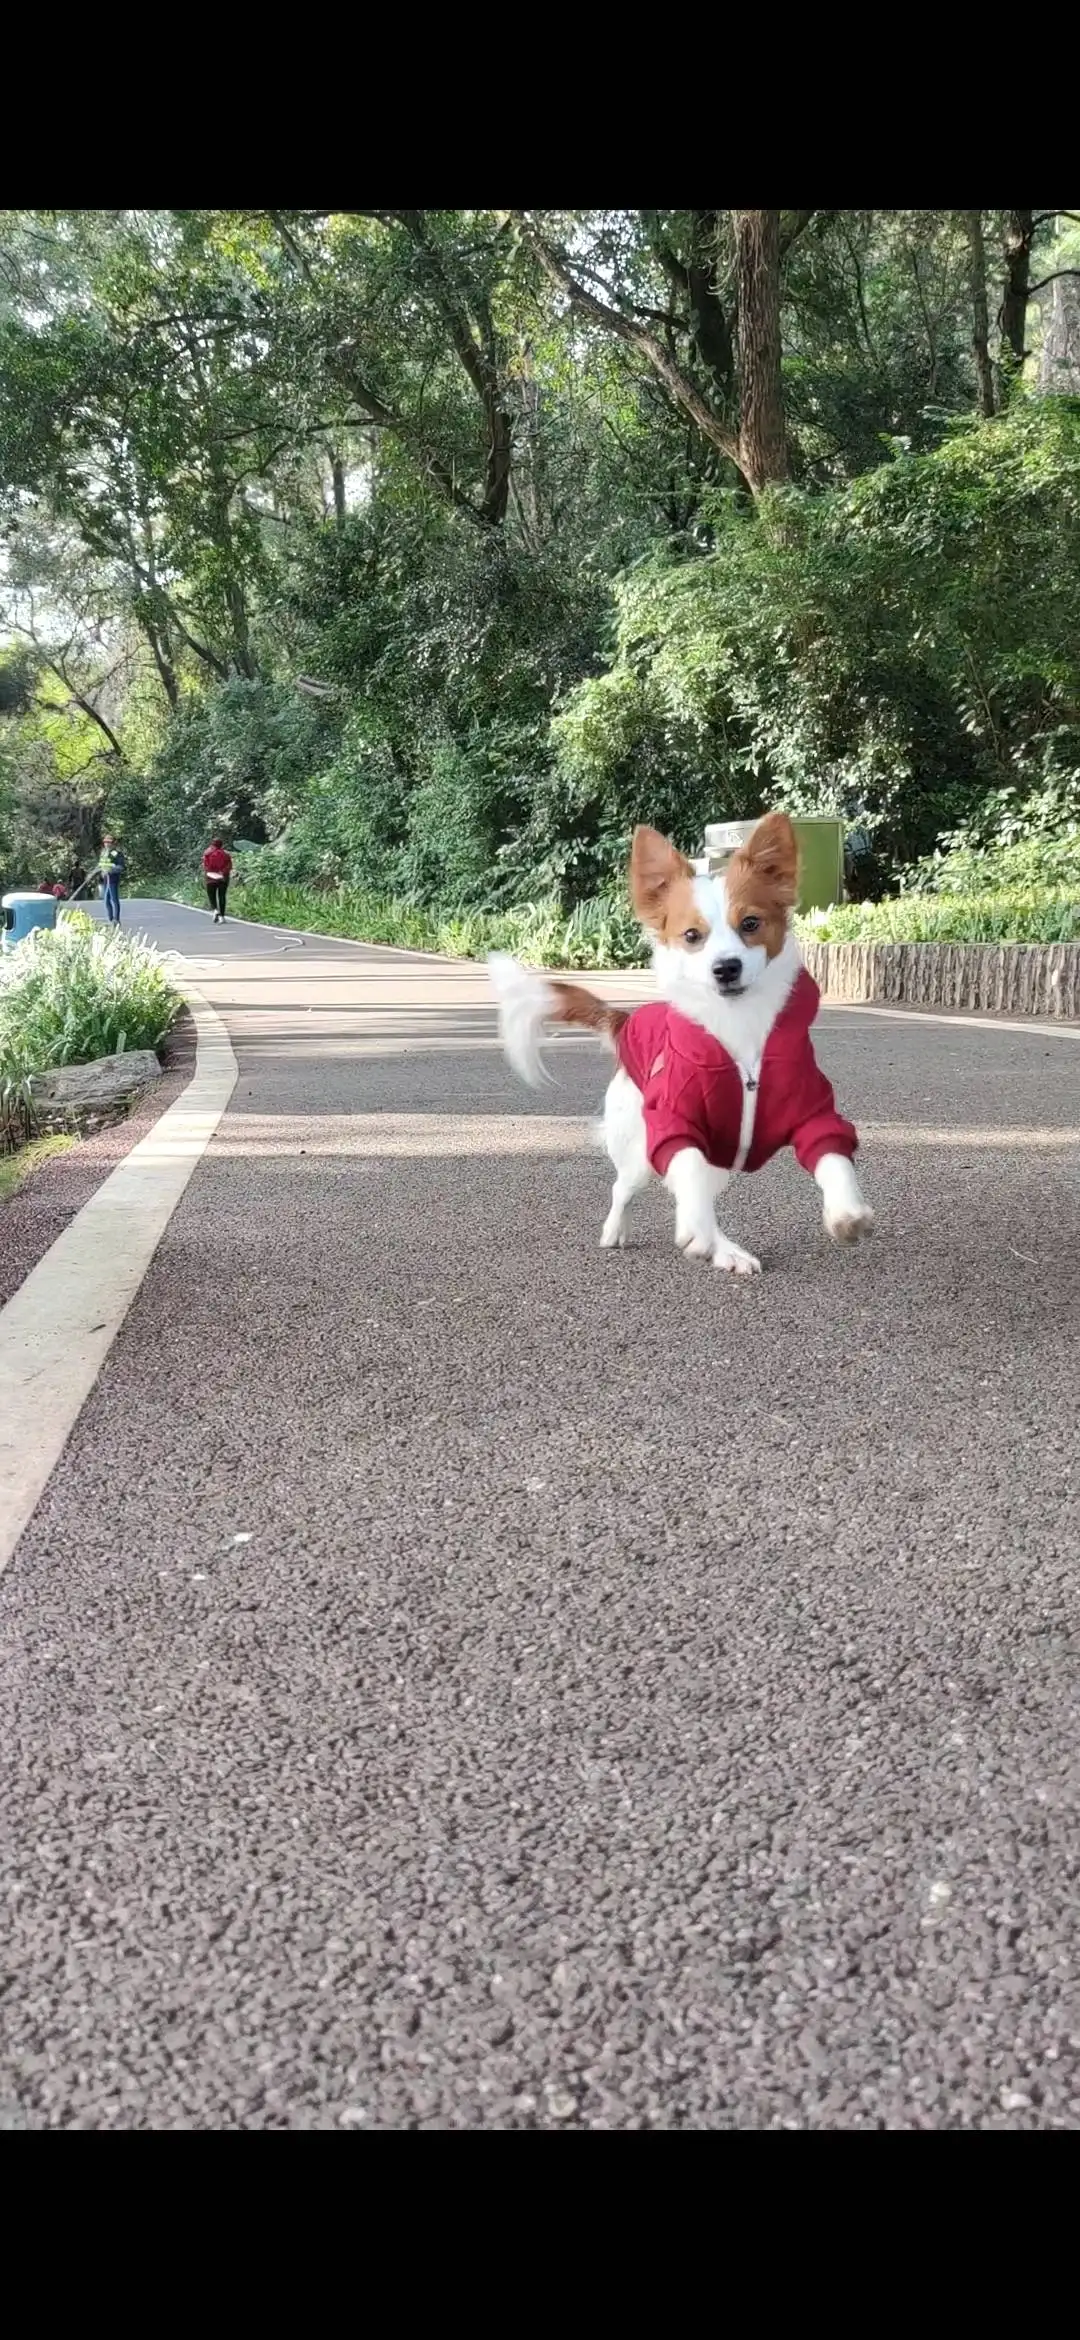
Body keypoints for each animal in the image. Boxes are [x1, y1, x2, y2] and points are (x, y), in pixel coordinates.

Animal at [488, 809, 878, 1282]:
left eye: (750, 924)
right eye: (692, 936)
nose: (726, 968)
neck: (737, 1028)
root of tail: (625, 1020)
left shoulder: (812, 1112)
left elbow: (833, 1159)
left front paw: (846, 1212)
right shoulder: (673, 1126)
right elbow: (686, 1171)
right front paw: (697, 1232)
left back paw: (724, 1249)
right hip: (638, 1151)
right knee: (630, 1187)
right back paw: (639, 1232)